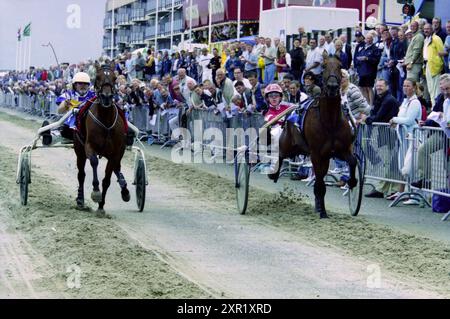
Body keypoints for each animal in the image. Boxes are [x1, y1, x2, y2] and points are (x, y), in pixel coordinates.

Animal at [74, 61, 130, 215]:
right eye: (98, 77)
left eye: (115, 78)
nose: (106, 96)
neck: (105, 120)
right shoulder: (89, 146)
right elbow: (94, 162)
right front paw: (96, 191)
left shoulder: (115, 153)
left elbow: (107, 179)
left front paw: (101, 206)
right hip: (79, 151)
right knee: (81, 174)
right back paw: (80, 200)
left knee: (117, 168)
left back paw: (124, 189)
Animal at [268, 56, 356, 219]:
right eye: (324, 66)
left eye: (340, 66)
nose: (333, 86)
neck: (330, 121)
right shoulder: (316, 153)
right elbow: (320, 183)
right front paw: (323, 212)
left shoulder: (341, 150)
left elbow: (352, 161)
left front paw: (352, 182)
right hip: (288, 144)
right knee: (281, 154)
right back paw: (274, 173)